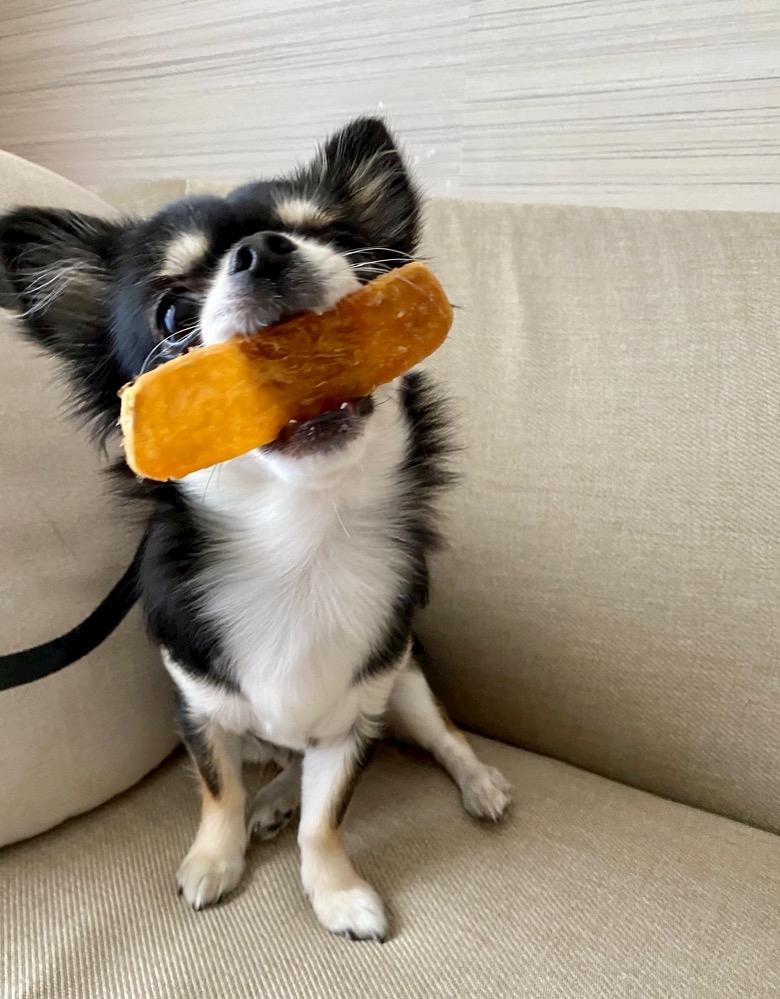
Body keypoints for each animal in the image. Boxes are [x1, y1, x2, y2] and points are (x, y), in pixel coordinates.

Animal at [0, 117, 510, 941]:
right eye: (172, 316)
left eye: (340, 240)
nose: (265, 250)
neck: (300, 542)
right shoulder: (199, 706)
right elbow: (219, 790)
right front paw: (216, 857)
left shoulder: (358, 715)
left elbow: (327, 820)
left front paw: (337, 892)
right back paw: (271, 802)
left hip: (408, 683)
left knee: (443, 736)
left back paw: (478, 783)